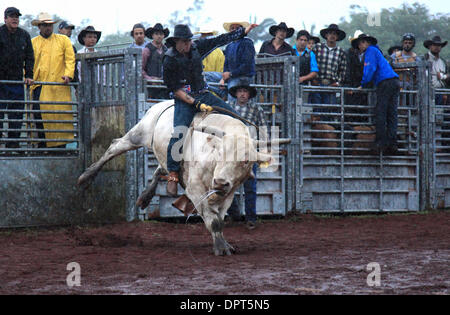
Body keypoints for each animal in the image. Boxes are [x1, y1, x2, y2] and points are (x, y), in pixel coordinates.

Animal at [77, 101, 288, 256]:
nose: (219, 182)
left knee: (161, 169)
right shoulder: (195, 189)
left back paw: (145, 197)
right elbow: (213, 220)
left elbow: (219, 218)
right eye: (219, 152)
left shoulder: (229, 192)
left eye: (245, 161)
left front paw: (224, 244)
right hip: (139, 134)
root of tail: (163, 103)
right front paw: (220, 248)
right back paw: (85, 178)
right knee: (115, 145)